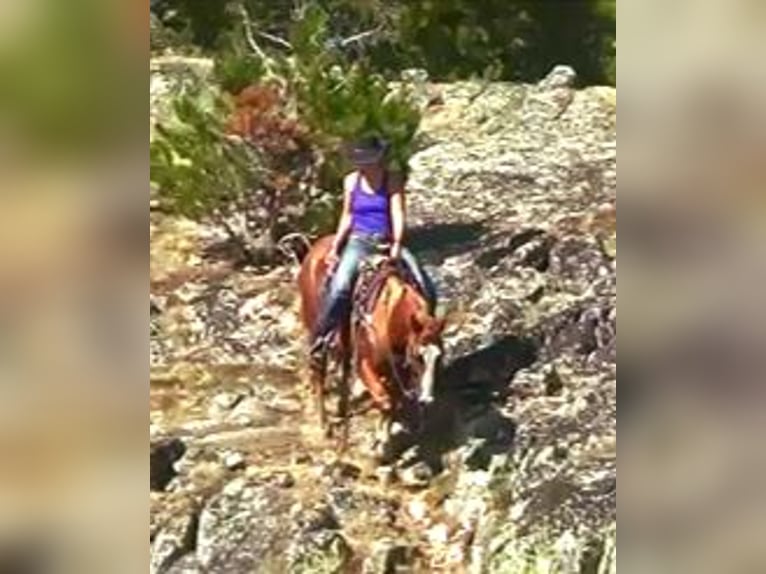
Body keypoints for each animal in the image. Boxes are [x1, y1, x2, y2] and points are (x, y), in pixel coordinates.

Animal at [298, 236, 448, 456]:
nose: (427, 399)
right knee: (319, 370)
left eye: (440, 356)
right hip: (316, 326)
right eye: (418, 357)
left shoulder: (398, 371)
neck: (389, 318)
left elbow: (392, 401)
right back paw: (324, 424)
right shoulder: (365, 364)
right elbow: (384, 400)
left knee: (343, 368)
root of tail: (315, 248)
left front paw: (382, 439)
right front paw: (380, 444)